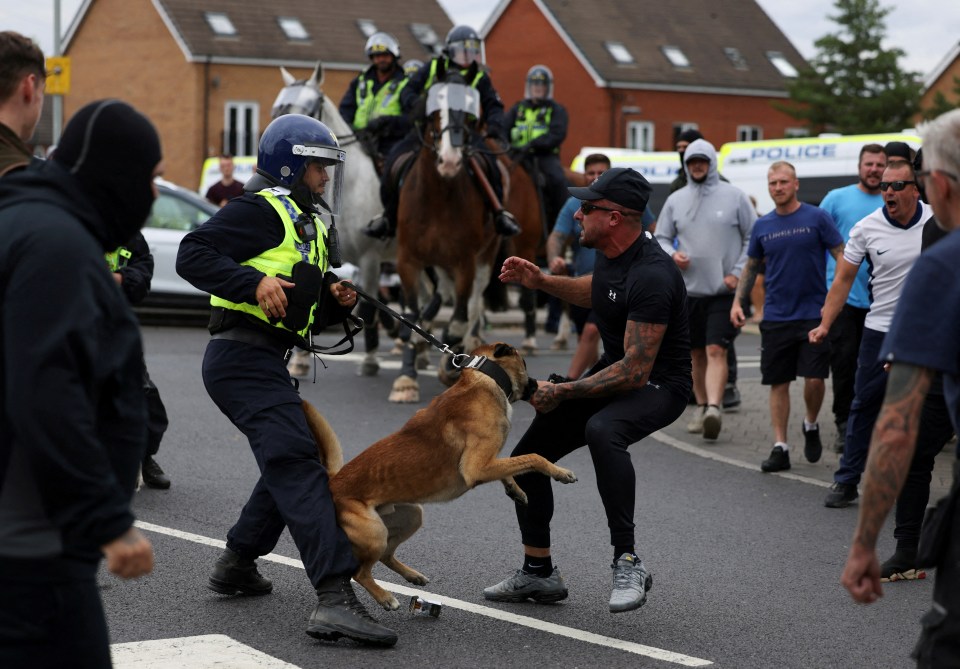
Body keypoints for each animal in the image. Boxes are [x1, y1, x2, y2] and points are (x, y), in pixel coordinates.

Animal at [306, 342, 576, 608]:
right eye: (524, 363)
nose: (540, 384)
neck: (484, 378)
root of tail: (334, 482)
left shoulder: (489, 463)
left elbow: (512, 466)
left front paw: (515, 490)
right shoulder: (477, 468)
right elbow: (532, 457)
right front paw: (560, 472)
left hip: (411, 515)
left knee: (386, 556)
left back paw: (412, 575)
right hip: (374, 532)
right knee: (360, 572)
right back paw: (385, 597)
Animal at [388, 65, 502, 404]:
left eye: (470, 114)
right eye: (434, 108)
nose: (450, 160)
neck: (438, 196)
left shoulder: (465, 263)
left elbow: (458, 322)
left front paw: (452, 367)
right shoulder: (408, 261)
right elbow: (411, 318)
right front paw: (406, 380)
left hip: (484, 258)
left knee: (473, 307)